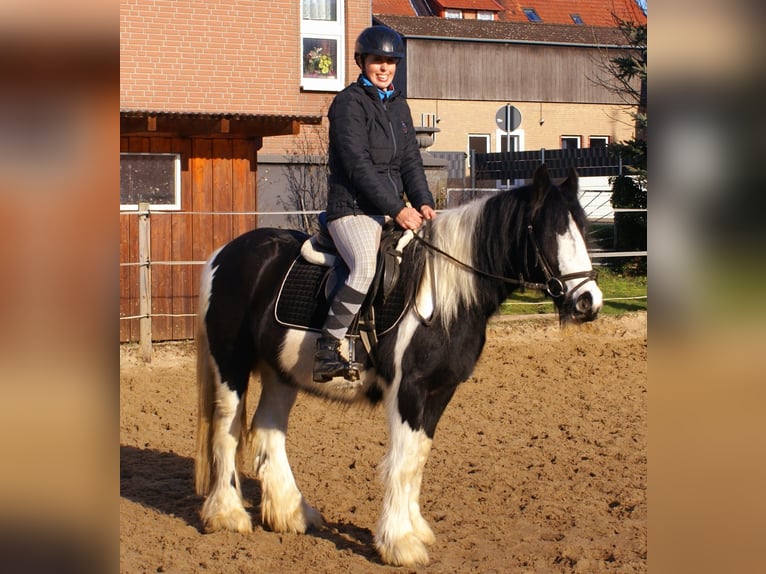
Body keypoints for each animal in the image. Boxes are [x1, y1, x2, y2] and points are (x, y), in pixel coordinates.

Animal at [195, 164, 604, 568]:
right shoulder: (410, 389)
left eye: (583, 230)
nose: (589, 302)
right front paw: (399, 543)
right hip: (230, 365)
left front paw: (415, 529)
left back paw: (292, 513)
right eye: (550, 232)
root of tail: (225, 254)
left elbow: (418, 457)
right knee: (227, 431)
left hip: (281, 372)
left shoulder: (440, 391)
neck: (444, 295)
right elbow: (403, 461)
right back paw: (228, 514)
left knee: (268, 432)